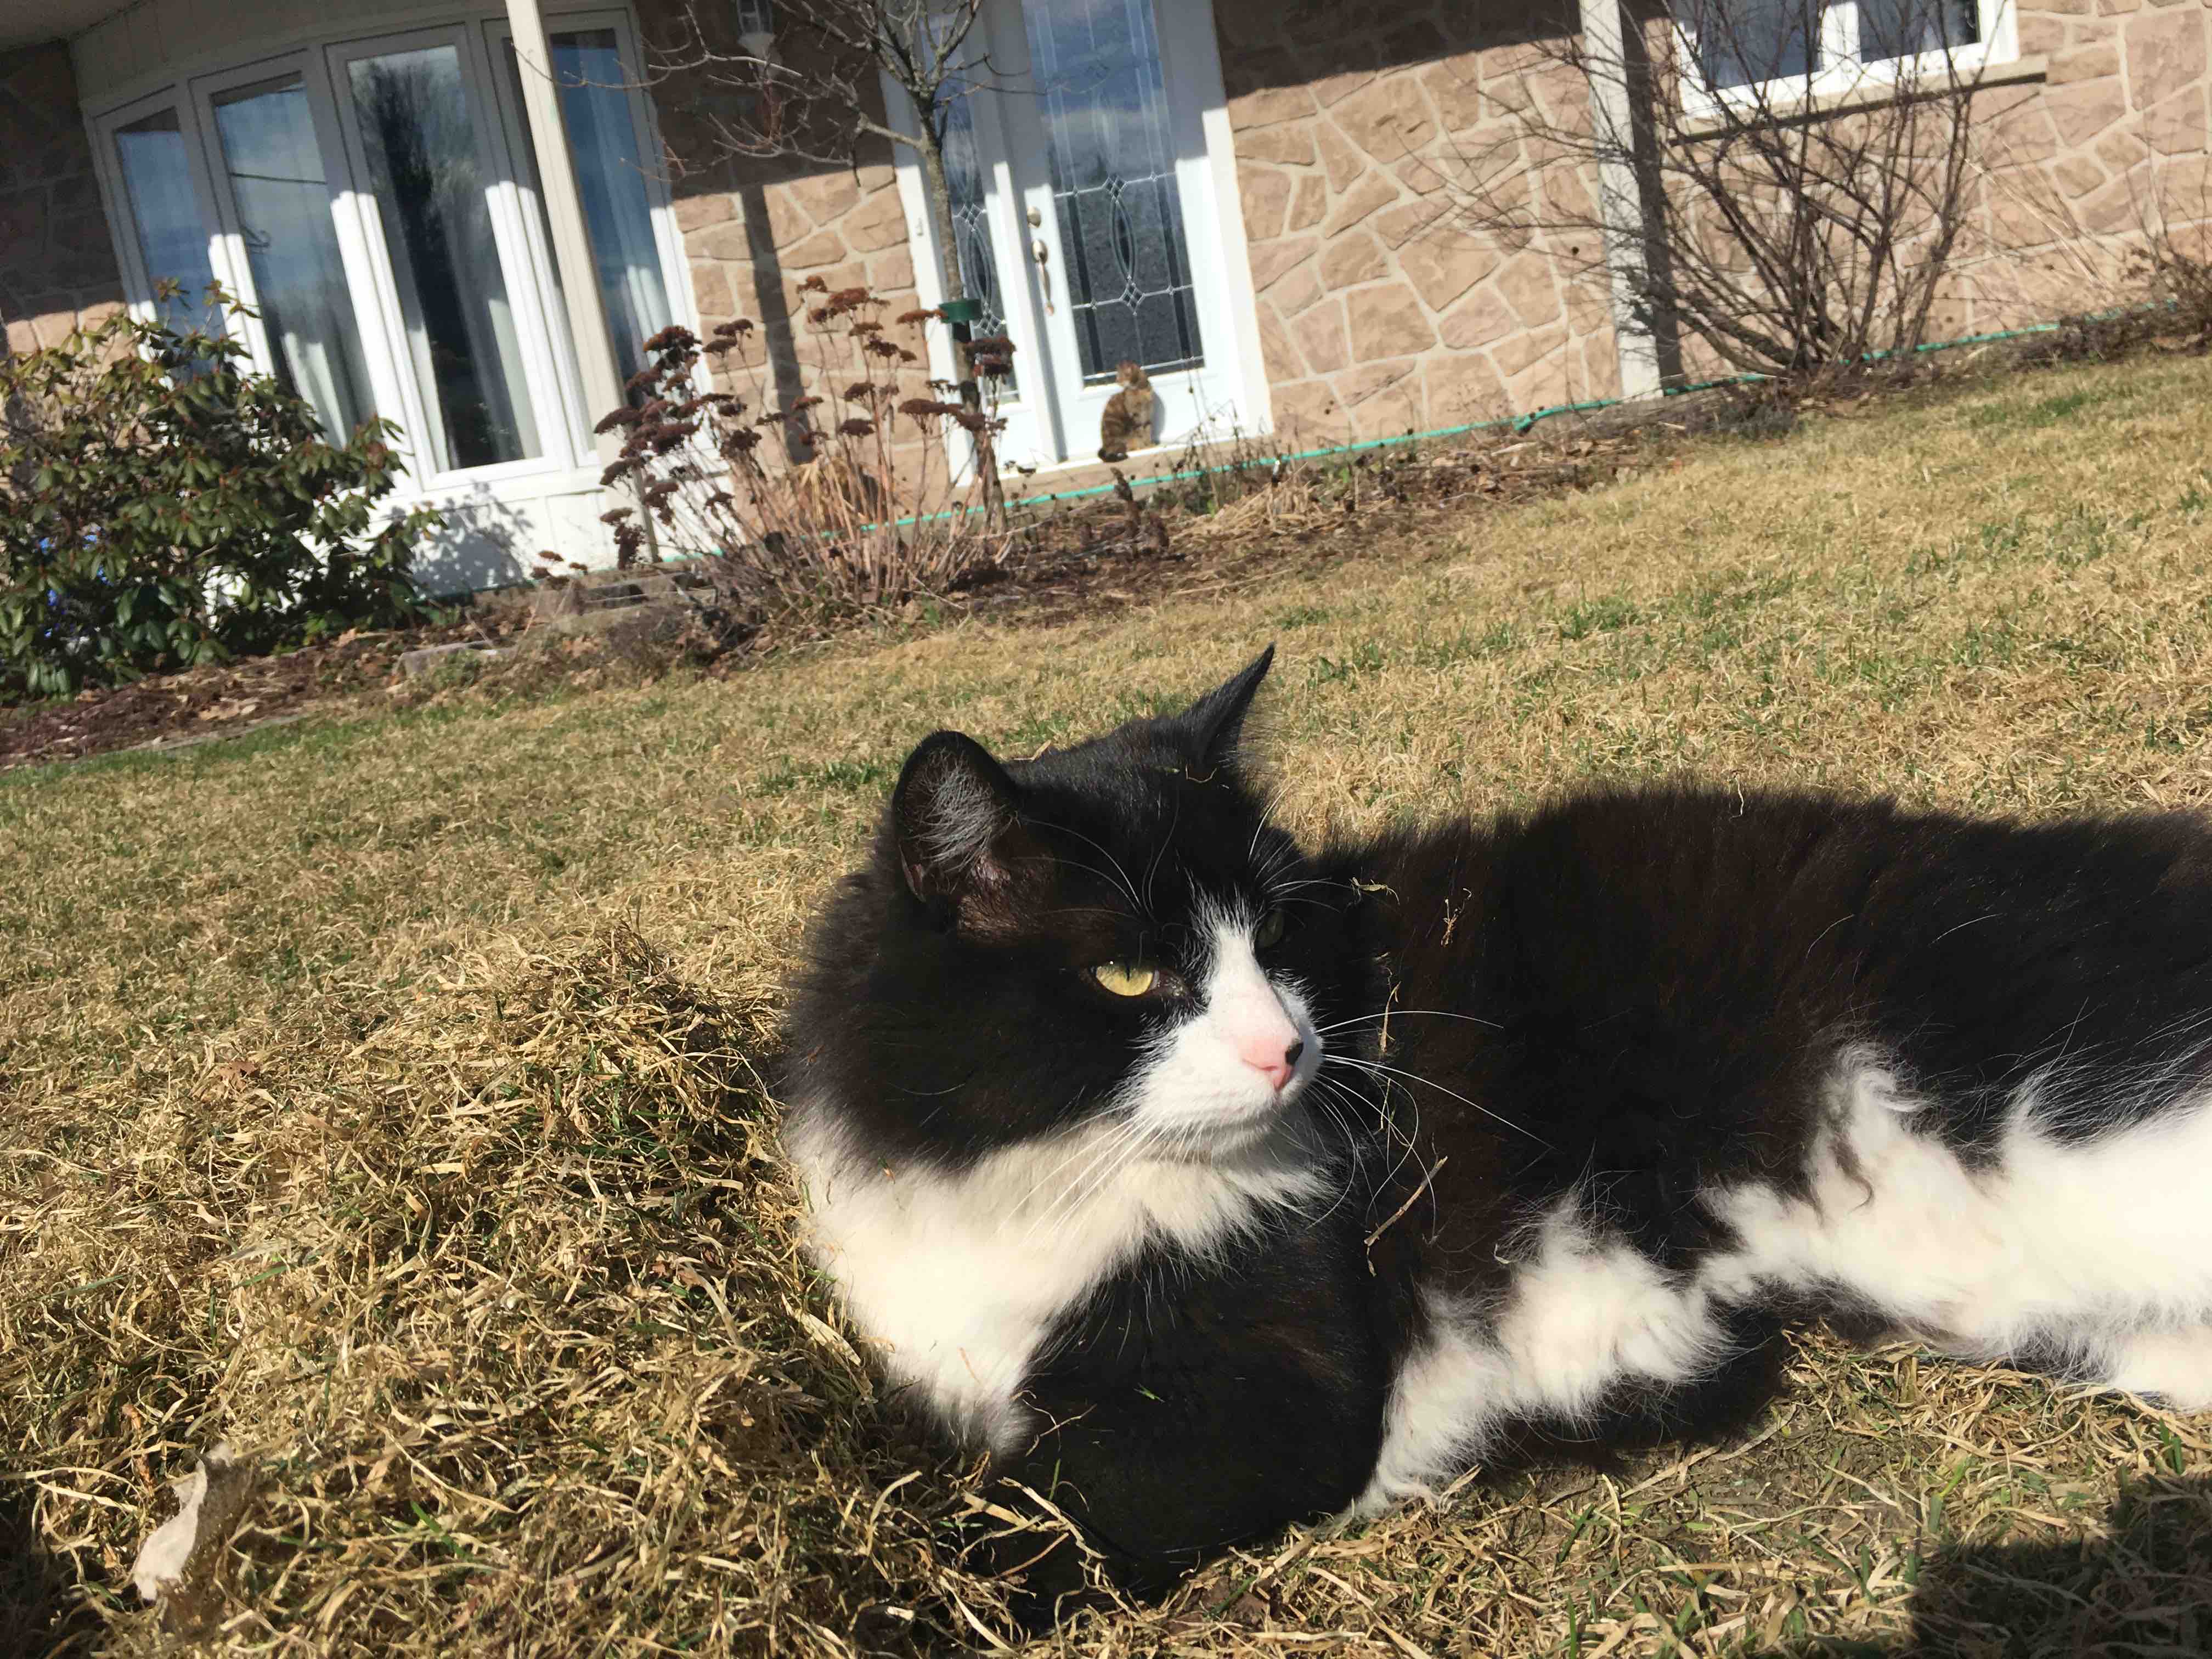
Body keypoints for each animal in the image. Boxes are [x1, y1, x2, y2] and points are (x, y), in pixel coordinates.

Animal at [779, 647, 2212, 1628]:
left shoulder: (1264, 1384)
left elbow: (1018, 1524)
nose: (1289, 1049)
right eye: (1131, 976)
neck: (1040, 1172)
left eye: (1277, 934)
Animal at [1096, 360, 1154, 462]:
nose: (1116, 381)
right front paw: (1145, 446)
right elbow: (1141, 434)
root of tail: (1105, 447)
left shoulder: (1148, 415)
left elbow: (1148, 431)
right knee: (1124, 449)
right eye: (1117, 376)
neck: (1140, 390)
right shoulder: (1136, 417)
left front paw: (1150, 444)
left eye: (1120, 376)